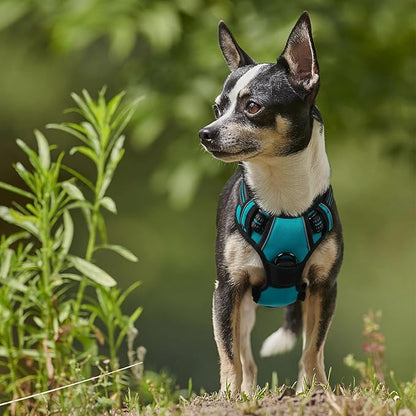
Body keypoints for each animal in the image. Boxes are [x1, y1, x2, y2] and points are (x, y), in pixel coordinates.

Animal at [200, 11, 342, 394]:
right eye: (218, 108)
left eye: (253, 106)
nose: (205, 133)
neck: (281, 198)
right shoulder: (227, 289)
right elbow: (229, 354)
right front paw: (229, 396)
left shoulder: (324, 287)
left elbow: (314, 349)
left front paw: (316, 391)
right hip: (244, 305)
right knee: (245, 357)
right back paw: (245, 391)